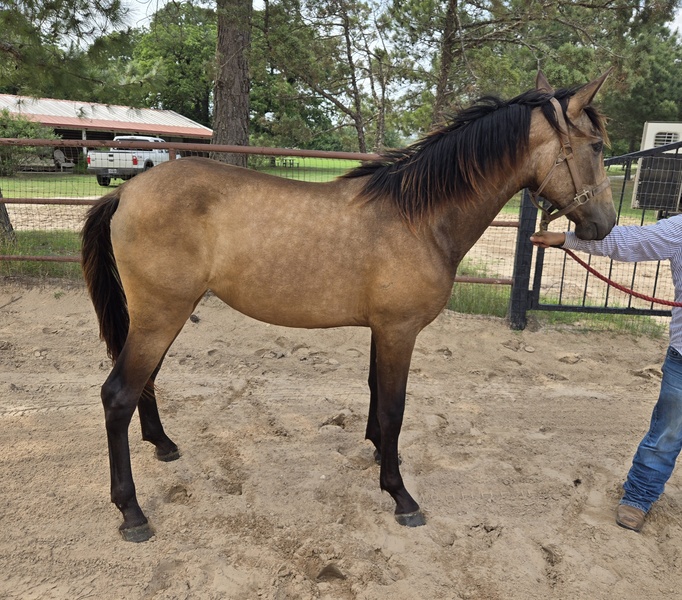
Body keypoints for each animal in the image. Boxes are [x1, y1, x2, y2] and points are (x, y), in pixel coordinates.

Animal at [81, 70, 617, 542]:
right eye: (596, 146)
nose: (606, 224)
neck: (419, 217)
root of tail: (126, 191)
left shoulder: (383, 330)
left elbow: (377, 396)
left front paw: (379, 454)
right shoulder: (400, 330)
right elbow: (395, 408)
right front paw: (400, 496)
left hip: (160, 316)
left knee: (145, 382)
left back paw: (163, 445)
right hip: (160, 315)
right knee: (118, 395)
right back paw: (131, 512)